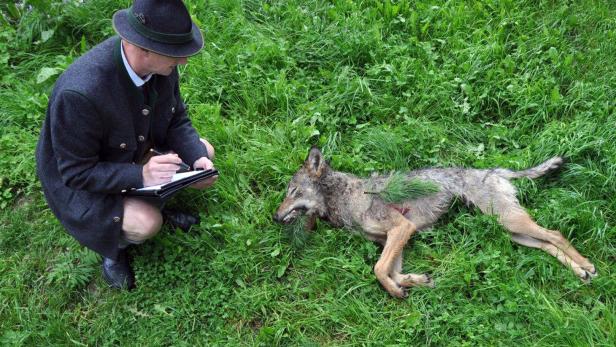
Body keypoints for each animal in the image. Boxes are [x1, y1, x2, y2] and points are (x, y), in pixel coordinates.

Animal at [274, 148, 596, 298]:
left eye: (292, 192)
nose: (275, 217)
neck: (345, 197)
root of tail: (493, 170)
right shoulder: (395, 240)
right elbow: (392, 271)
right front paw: (416, 282)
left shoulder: (402, 230)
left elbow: (378, 269)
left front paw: (395, 291)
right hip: (513, 232)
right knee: (547, 244)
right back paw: (580, 272)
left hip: (511, 223)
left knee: (555, 234)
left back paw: (586, 264)